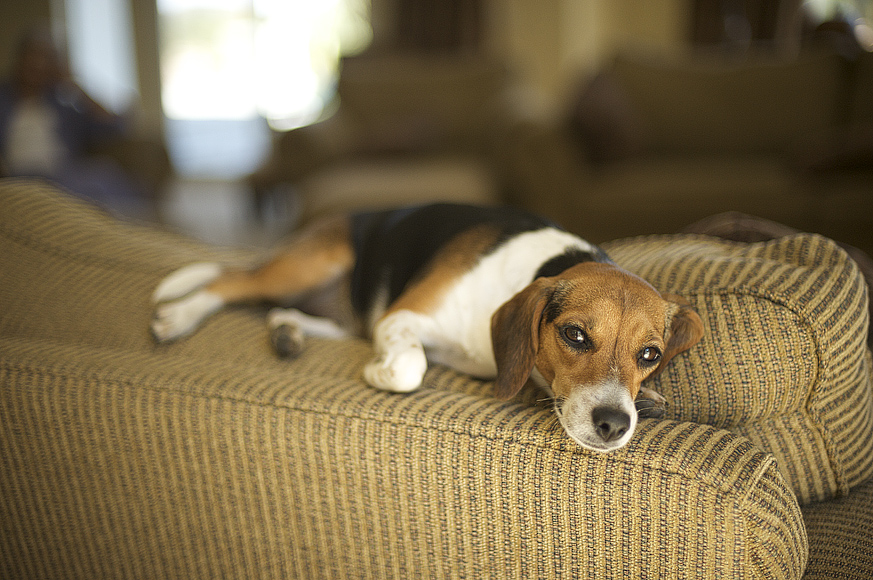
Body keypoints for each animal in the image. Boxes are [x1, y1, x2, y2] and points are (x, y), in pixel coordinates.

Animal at [152, 204, 700, 454]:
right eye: (575, 335)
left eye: (649, 355)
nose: (614, 424)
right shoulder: (402, 317)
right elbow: (410, 366)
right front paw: (379, 372)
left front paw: (649, 399)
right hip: (315, 262)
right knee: (227, 281)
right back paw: (177, 316)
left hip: (343, 308)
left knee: (289, 313)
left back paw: (287, 330)